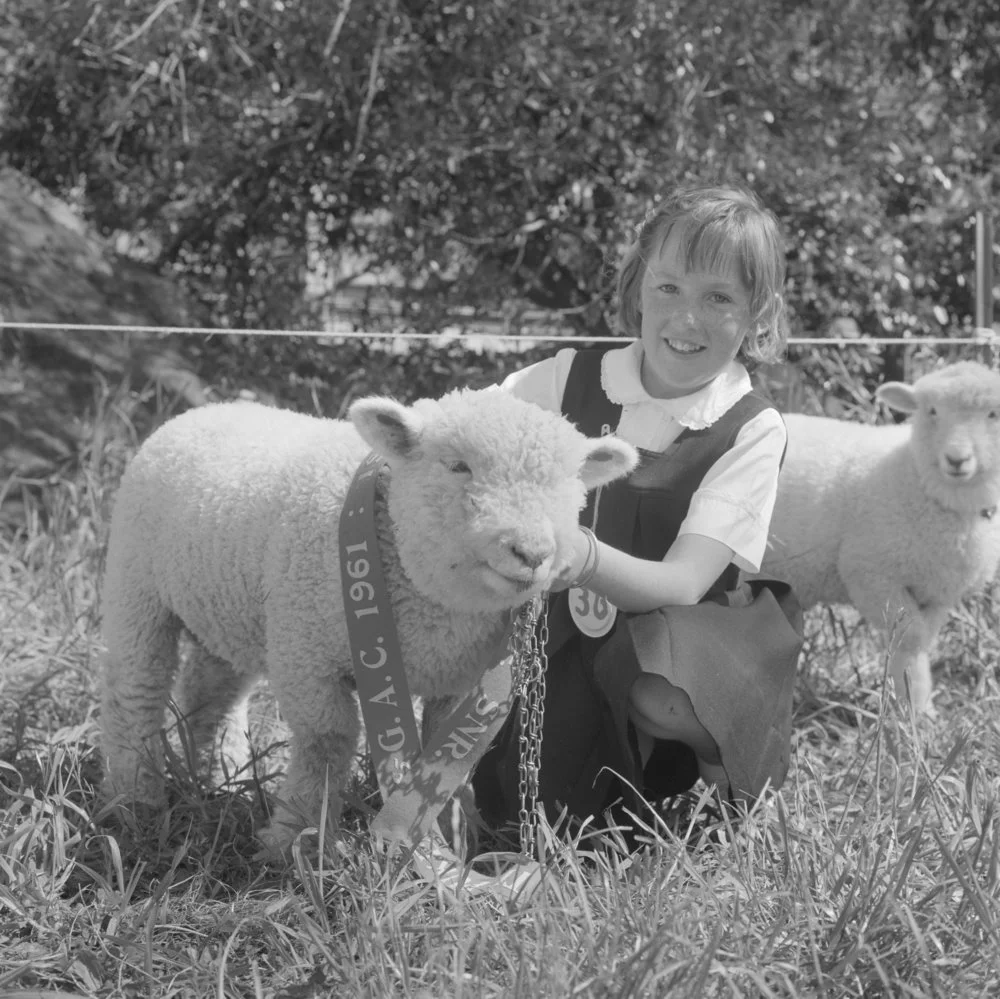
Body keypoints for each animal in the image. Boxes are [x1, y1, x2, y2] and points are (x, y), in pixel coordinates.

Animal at [99, 390, 632, 852]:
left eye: (572, 482)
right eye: (458, 465)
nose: (533, 552)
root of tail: (209, 406)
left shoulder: (459, 679)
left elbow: (446, 754)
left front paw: (449, 833)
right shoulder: (305, 652)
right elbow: (326, 743)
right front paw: (296, 837)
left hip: (227, 610)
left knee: (210, 695)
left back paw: (219, 778)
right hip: (135, 586)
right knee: (136, 692)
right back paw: (137, 800)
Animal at [756, 364, 1000, 716]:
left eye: (993, 414)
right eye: (932, 411)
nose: (957, 459)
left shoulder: (938, 592)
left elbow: (922, 640)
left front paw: (918, 709)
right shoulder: (871, 573)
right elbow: (909, 639)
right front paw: (911, 709)